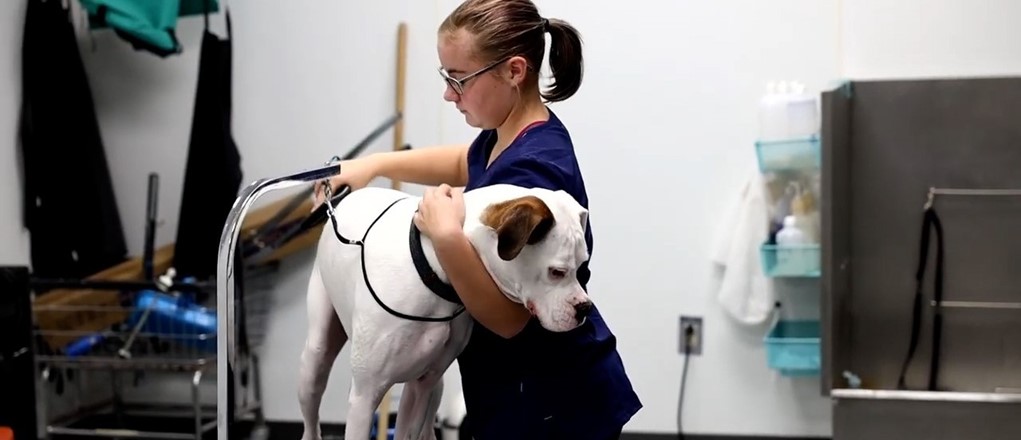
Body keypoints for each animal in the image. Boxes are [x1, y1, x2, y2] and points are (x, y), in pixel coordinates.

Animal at [296, 183, 596, 440]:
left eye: (582, 265)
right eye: (557, 272)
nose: (585, 308)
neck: (432, 267)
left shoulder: (422, 386)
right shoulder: (365, 397)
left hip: (432, 388)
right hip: (315, 363)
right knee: (311, 418)